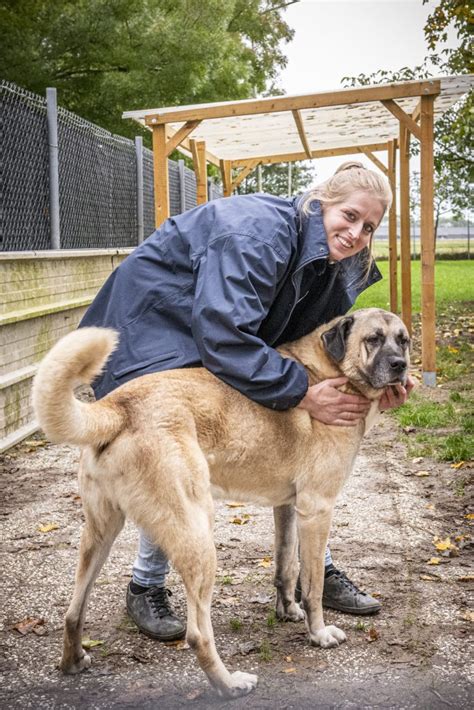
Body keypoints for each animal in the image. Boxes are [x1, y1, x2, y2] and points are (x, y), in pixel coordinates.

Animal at [33, 308, 410, 700]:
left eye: (404, 340)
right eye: (373, 339)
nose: (401, 366)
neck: (332, 371)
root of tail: (117, 407)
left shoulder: (288, 508)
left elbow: (286, 567)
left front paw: (288, 610)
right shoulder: (317, 509)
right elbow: (313, 584)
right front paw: (318, 632)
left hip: (100, 534)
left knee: (73, 611)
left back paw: (73, 661)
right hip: (199, 537)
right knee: (198, 634)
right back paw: (229, 684)